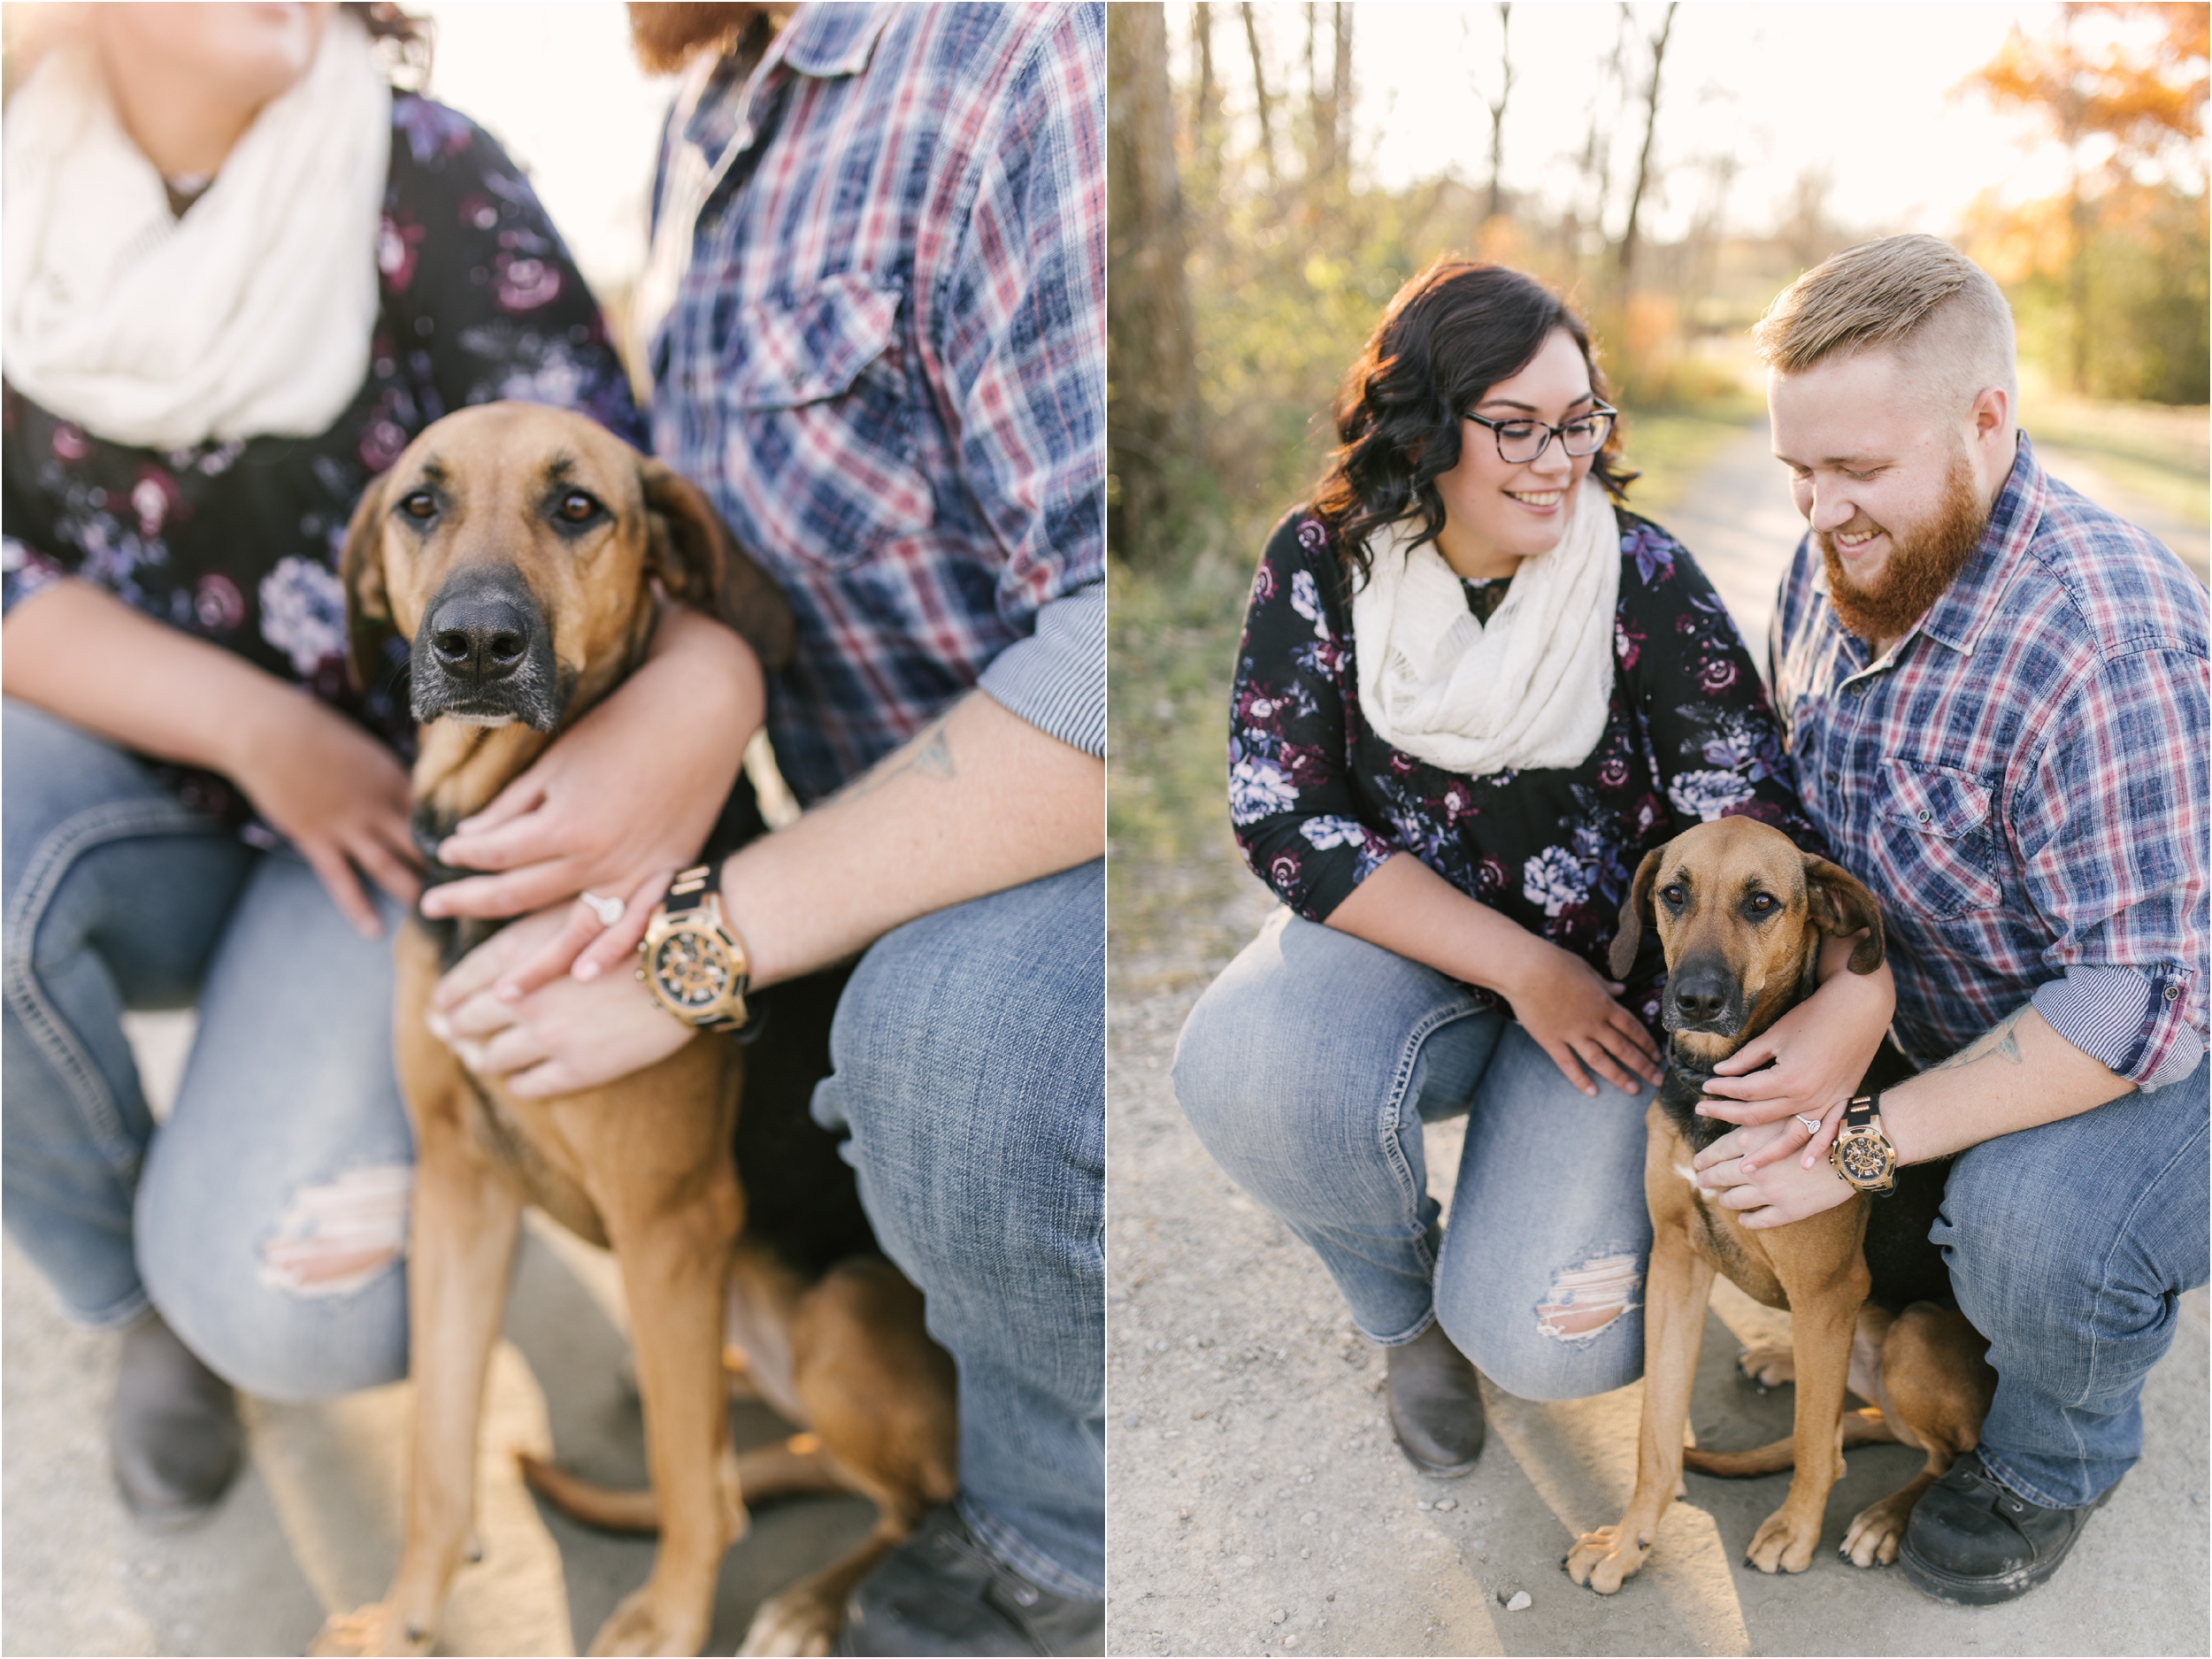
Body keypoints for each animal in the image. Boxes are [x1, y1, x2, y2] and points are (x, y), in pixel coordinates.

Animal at [316, 407, 956, 1659]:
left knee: (917, 1499)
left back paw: (812, 1603)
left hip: (840, 1318)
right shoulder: (458, 1186)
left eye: (578, 508)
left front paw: (667, 1620)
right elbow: (436, 1455)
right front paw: (406, 1618)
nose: (475, 645)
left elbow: (686, 1479)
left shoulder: (670, 1221)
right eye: (421, 503)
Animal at [1566, 818, 2000, 1601]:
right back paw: (1780, 1359)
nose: (1694, 999)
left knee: (1939, 1453)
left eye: (1761, 902)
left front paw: (1795, 1533)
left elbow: (1810, 1442)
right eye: (1673, 893)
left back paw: (1886, 1518)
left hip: (1911, 1333)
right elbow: (1656, 1432)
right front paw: (1630, 1538)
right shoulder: (1675, 1261)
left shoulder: (1829, 1289)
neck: (1716, 1086)